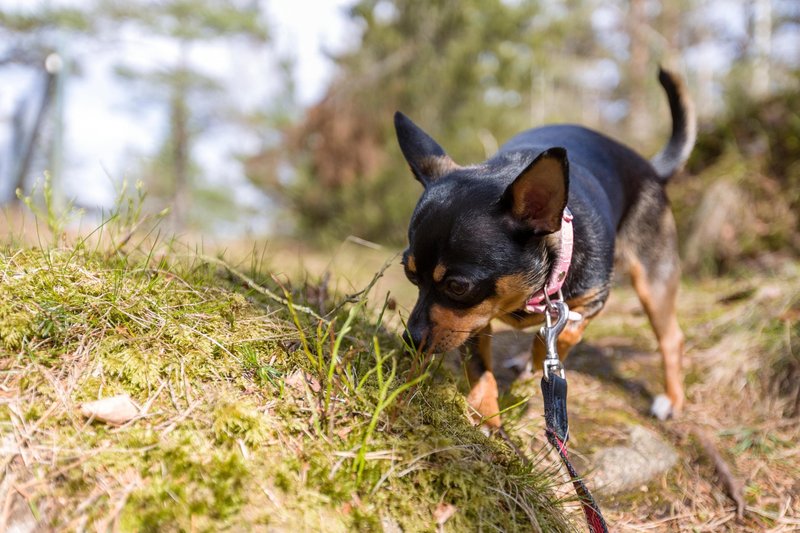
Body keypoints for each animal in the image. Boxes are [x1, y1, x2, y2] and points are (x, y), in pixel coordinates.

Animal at [394, 66, 692, 426]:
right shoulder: (473, 322)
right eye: (410, 276)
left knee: (671, 339)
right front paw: (486, 415)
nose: (411, 339)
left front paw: (541, 359)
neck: (528, 293)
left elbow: (563, 334)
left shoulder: (593, 299)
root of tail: (651, 168)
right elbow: (478, 366)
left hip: (654, 281)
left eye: (457, 286)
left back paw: (672, 399)